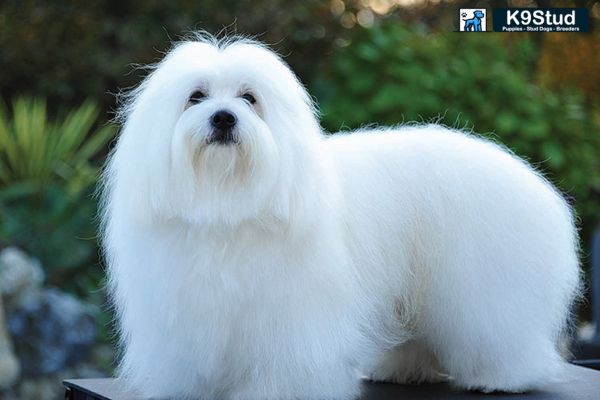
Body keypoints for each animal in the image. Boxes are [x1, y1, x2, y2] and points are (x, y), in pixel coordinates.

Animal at [102, 36, 580, 398]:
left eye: (249, 98)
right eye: (196, 97)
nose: (223, 118)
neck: (228, 206)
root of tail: (533, 182)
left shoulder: (292, 316)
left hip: (486, 287)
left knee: (500, 332)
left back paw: (501, 378)